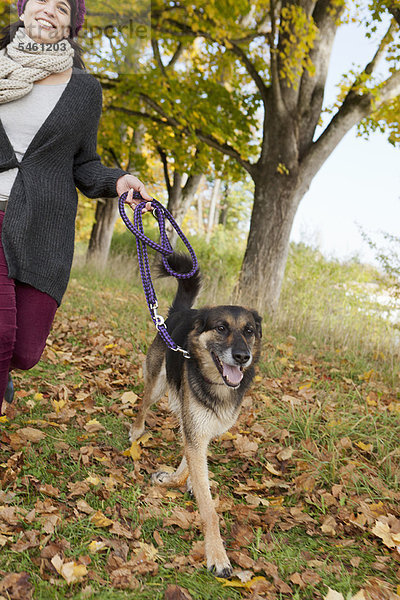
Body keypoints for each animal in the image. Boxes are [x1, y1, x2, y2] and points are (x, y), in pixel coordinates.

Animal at [130, 252, 262, 576]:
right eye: (221, 328)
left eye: (248, 331)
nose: (242, 357)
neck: (217, 385)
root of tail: (182, 312)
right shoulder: (196, 430)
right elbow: (209, 509)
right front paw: (217, 555)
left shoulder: (204, 429)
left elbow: (191, 465)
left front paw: (178, 479)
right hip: (158, 382)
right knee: (144, 402)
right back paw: (136, 430)